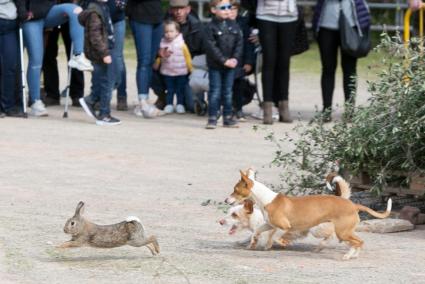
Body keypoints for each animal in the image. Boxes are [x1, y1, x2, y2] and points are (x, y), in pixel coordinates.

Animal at [225, 169, 390, 260]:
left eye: (235, 190)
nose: (226, 200)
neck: (266, 199)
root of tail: (353, 204)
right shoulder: (268, 224)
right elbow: (257, 232)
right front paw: (255, 242)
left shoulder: (284, 226)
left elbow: (276, 236)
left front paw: (278, 243)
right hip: (345, 231)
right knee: (358, 242)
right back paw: (353, 255)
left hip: (341, 232)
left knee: (357, 242)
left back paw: (348, 256)